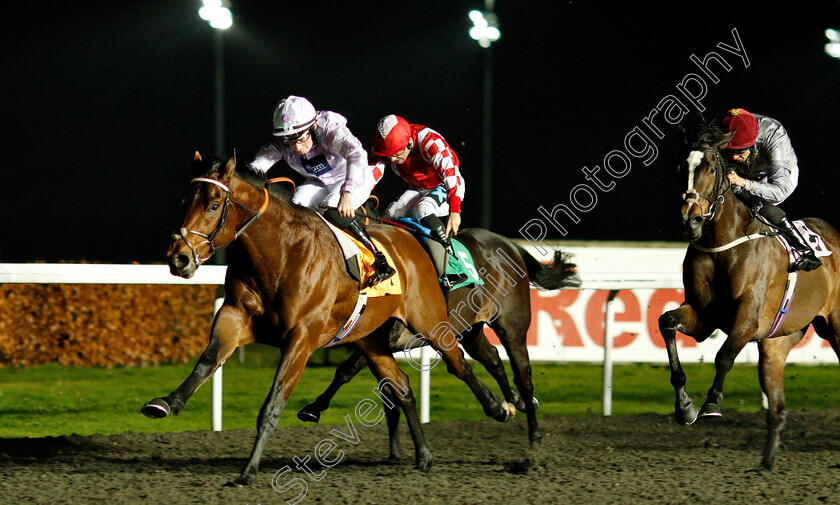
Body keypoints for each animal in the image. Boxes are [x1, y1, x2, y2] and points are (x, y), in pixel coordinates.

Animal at [140, 154, 516, 484]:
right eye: (184, 202)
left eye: (214, 205)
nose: (178, 258)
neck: (281, 253)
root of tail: (412, 239)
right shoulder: (234, 315)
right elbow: (207, 361)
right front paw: (166, 402)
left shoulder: (301, 338)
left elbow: (272, 404)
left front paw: (248, 471)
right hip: (369, 338)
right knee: (402, 386)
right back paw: (424, 455)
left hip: (430, 322)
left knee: (459, 363)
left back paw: (501, 407)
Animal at [294, 219, 576, 450]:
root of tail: (510, 245)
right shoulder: (375, 341)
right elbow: (351, 373)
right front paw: (313, 409)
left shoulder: (386, 338)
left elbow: (353, 371)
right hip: (469, 328)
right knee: (493, 358)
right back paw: (515, 401)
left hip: (512, 326)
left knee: (523, 374)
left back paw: (534, 434)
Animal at [656, 123, 840, 468]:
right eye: (679, 168)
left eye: (711, 168)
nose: (690, 220)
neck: (721, 244)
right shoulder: (702, 315)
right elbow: (667, 323)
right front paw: (684, 407)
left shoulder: (748, 317)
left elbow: (724, 355)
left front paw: (712, 403)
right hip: (776, 345)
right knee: (777, 407)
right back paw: (766, 461)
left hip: (835, 327)